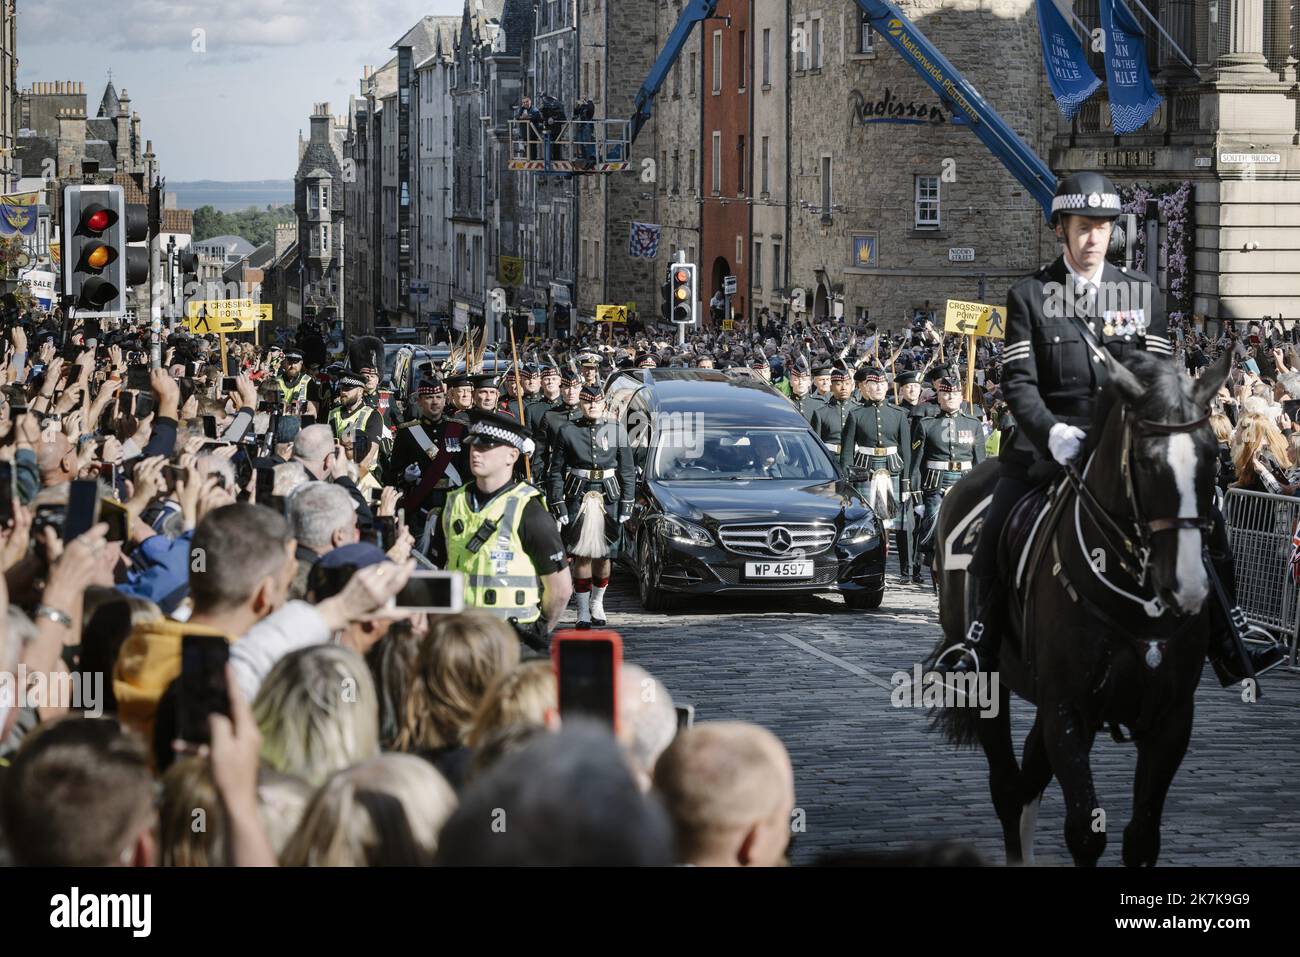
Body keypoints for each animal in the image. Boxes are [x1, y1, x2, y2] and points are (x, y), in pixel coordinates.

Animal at [930, 351, 1232, 868]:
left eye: (1212, 455)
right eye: (1146, 461)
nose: (1188, 587)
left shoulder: (1172, 720)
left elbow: (1142, 838)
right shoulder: (1068, 709)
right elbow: (1085, 831)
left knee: (1028, 779)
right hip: (987, 681)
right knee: (1008, 787)